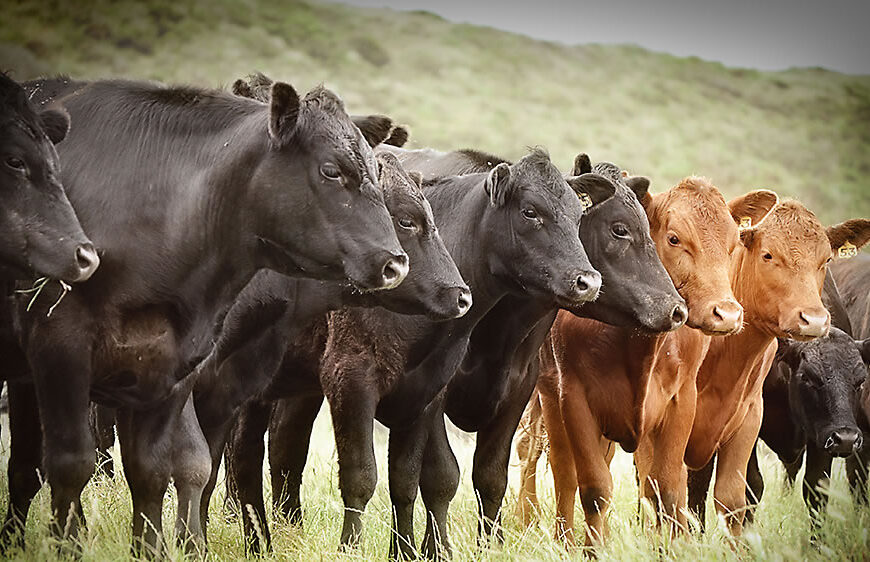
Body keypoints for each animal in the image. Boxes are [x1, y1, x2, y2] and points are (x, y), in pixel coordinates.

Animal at [0, 75, 408, 552]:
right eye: (331, 170)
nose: (395, 263)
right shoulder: (58, 347)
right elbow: (70, 464)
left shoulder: (174, 366)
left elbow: (153, 470)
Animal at [516, 178, 776, 544]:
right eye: (674, 238)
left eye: (732, 243)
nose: (726, 314)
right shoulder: (574, 399)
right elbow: (594, 489)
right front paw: (592, 550)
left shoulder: (681, 401)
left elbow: (667, 489)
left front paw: (672, 547)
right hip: (550, 397)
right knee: (562, 472)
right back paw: (563, 540)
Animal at [688, 207, 870, 532]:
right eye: (809, 378)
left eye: (860, 381)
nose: (848, 438)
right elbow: (751, 487)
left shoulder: (821, 432)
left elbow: (816, 490)